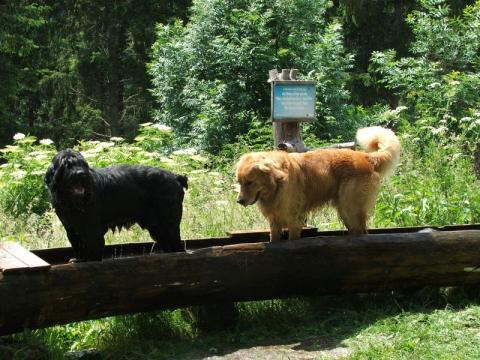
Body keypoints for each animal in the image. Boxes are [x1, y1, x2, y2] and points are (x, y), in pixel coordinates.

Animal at [45, 149, 188, 262]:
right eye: (66, 165)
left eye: (82, 164)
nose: (81, 173)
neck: (72, 201)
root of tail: (175, 177)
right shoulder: (71, 228)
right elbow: (78, 245)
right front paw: (80, 258)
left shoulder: (91, 227)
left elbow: (92, 244)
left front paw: (89, 260)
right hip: (157, 226)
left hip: (168, 223)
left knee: (177, 246)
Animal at [234, 126, 400, 242]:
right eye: (239, 182)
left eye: (250, 182)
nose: (239, 201)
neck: (276, 186)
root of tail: (366, 157)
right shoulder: (274, 222)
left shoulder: (294, 219)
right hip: (345, 210)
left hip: (350, 207)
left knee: (362, 233)